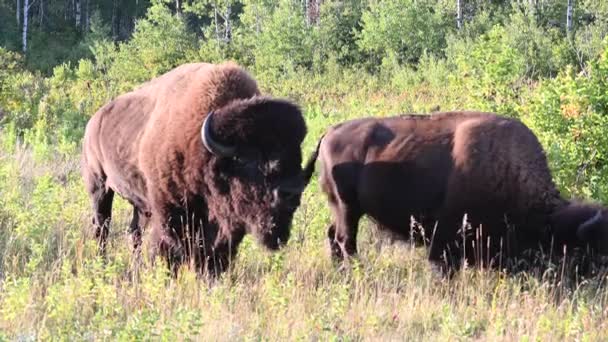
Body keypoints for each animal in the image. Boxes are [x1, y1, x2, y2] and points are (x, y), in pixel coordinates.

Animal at [82, 60, 316, 276]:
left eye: (296, 153)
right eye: (249, 159)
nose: (292, 192)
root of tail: (93, 121)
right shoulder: (169, 213)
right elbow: (170, 250)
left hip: (139, 204)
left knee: (134, 232)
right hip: (99, 186)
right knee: (101, 225)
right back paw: (102, 263)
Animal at [314, 111, 608, 272]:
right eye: (587, 253)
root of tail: (328, 133)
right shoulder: (444, 240)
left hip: (341, 209)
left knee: (333, 236)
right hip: (347, 208)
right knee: (346, 240)